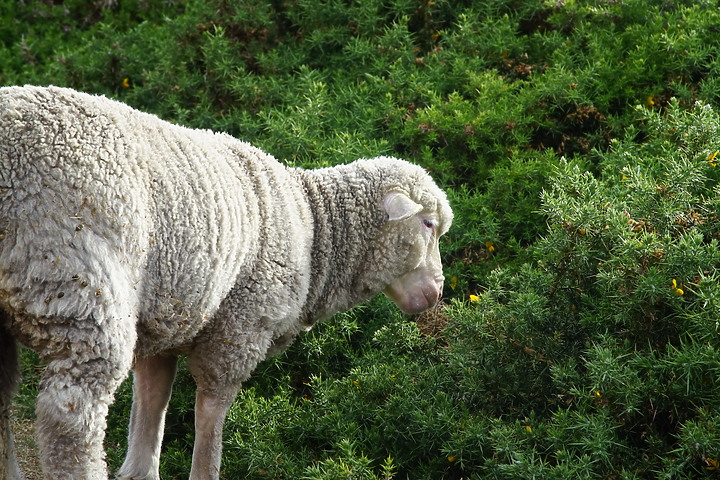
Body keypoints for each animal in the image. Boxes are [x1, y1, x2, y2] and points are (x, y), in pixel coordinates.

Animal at [0, 86, 450, 480]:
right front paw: (205, 469)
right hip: (78, 284)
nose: (437, 292)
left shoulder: (166, 314)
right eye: (429, 225)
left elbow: (151, 407)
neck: (314, 232)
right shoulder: (238, 328)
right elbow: (211, 417)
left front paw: (140, 471)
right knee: (70, 416)